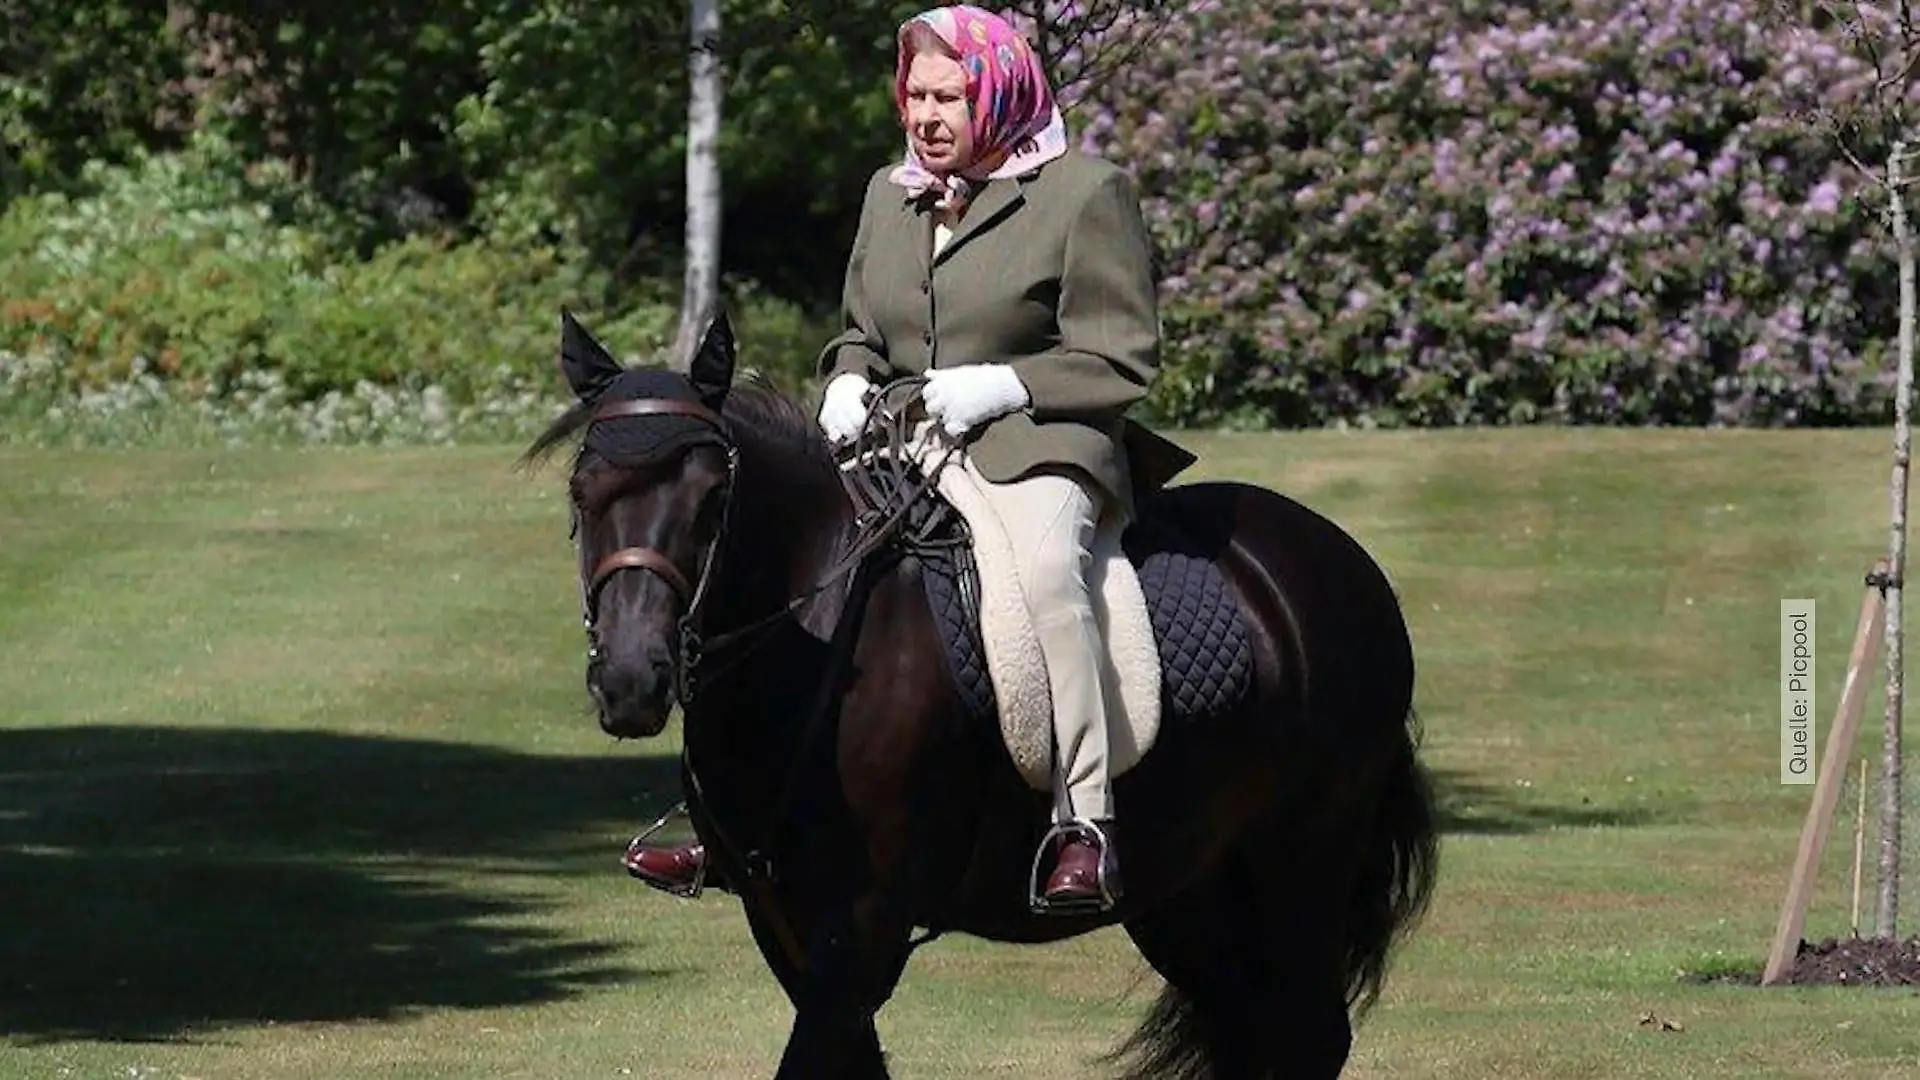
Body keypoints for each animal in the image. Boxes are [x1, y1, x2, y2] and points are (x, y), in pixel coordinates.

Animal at [522, 309, 1440, 1080]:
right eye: (582, 494)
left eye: (713, 499)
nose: (632, 680)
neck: (812, 636)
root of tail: (1340, 562)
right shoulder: (782, 920)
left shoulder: (862, 926)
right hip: (1187, 888)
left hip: (1302, 862)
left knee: (1307, 1035)